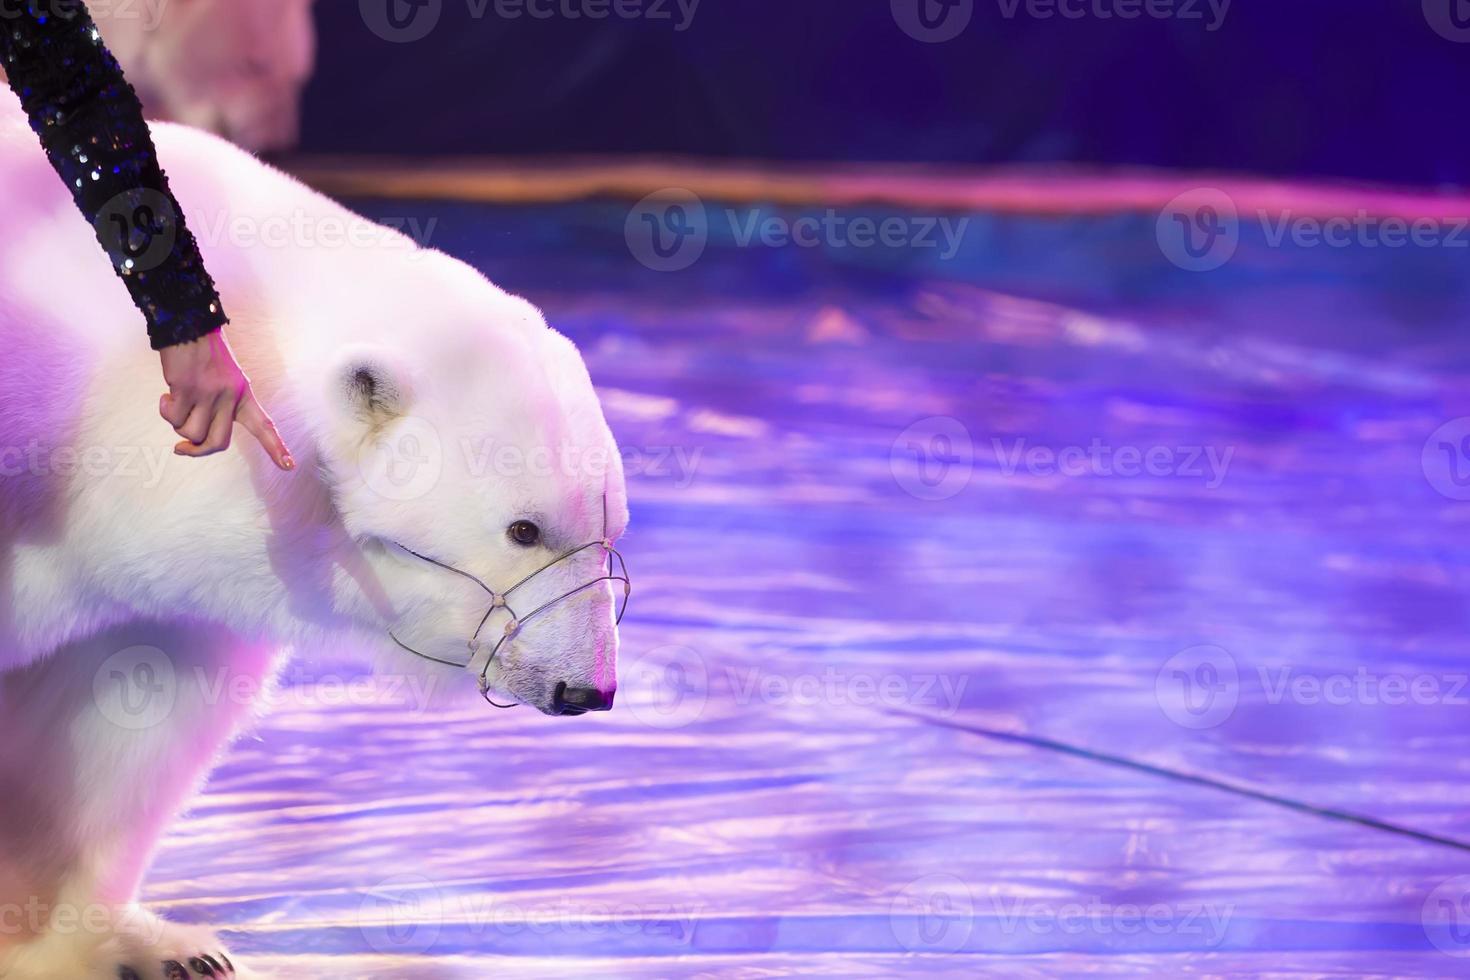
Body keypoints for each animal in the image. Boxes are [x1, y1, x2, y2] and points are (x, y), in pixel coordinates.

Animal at [0, 97, 626, 975]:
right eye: (525, 528)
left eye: (610, 527)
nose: (587, 690)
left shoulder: (165, 579)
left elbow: (123, 707)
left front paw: (121, 943)